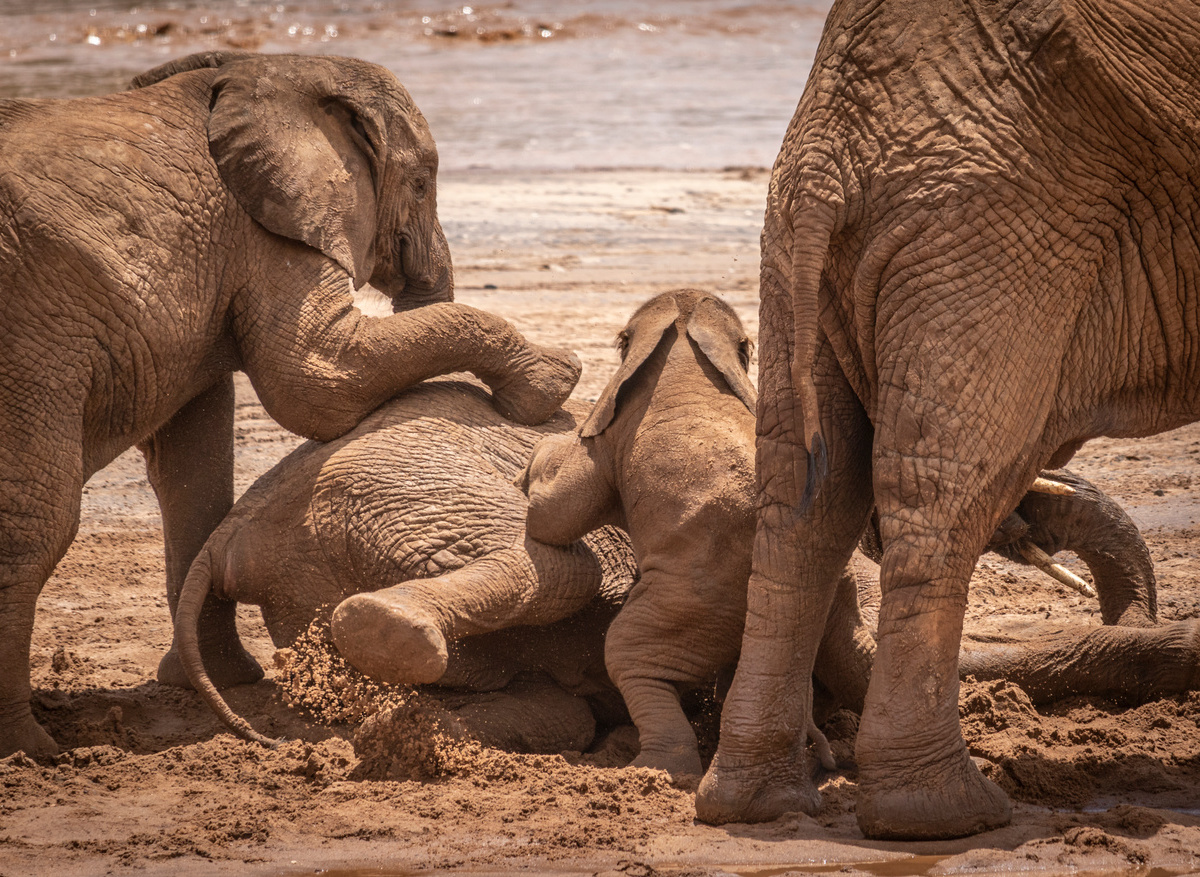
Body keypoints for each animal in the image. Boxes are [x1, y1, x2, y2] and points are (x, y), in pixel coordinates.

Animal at [0, 50, 581, 759]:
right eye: (420, 184)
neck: (262, 67)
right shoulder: (261, 233)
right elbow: (318, 381)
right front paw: (553, 380)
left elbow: (194, 470)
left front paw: (224, 683)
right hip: (28, 332)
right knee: (36, 524)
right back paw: (29, 748)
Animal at [695, 0, 1200, 842]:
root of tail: (826, 160)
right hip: (996, 230)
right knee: (937, 496)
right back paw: (945, 816)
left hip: (809, 248)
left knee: (805, 495)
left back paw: (756, 805)